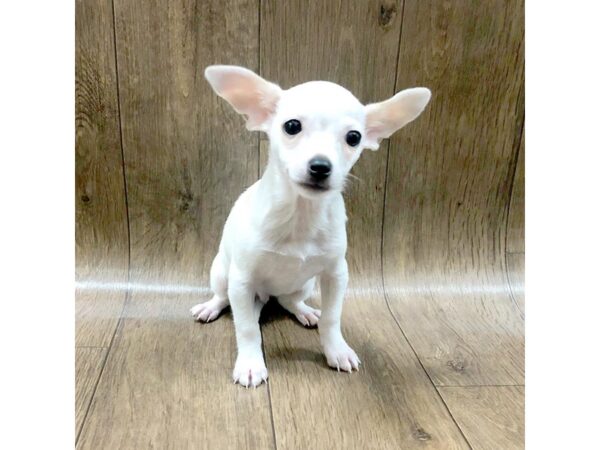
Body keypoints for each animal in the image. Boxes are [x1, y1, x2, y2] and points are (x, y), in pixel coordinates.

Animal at [190, 66, 428, 386]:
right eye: (292, 126)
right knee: (224, 297)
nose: (321, 166)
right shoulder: (241, 280)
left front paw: (336, 350)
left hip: (305, 283)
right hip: (221, 273)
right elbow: (247, 327)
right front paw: (251, 363)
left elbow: (332, 318)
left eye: (354, 137)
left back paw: (304, 312)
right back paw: (210, 307)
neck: (300, 214)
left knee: (288, 300)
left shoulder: (336, 274)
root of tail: (265, 296)